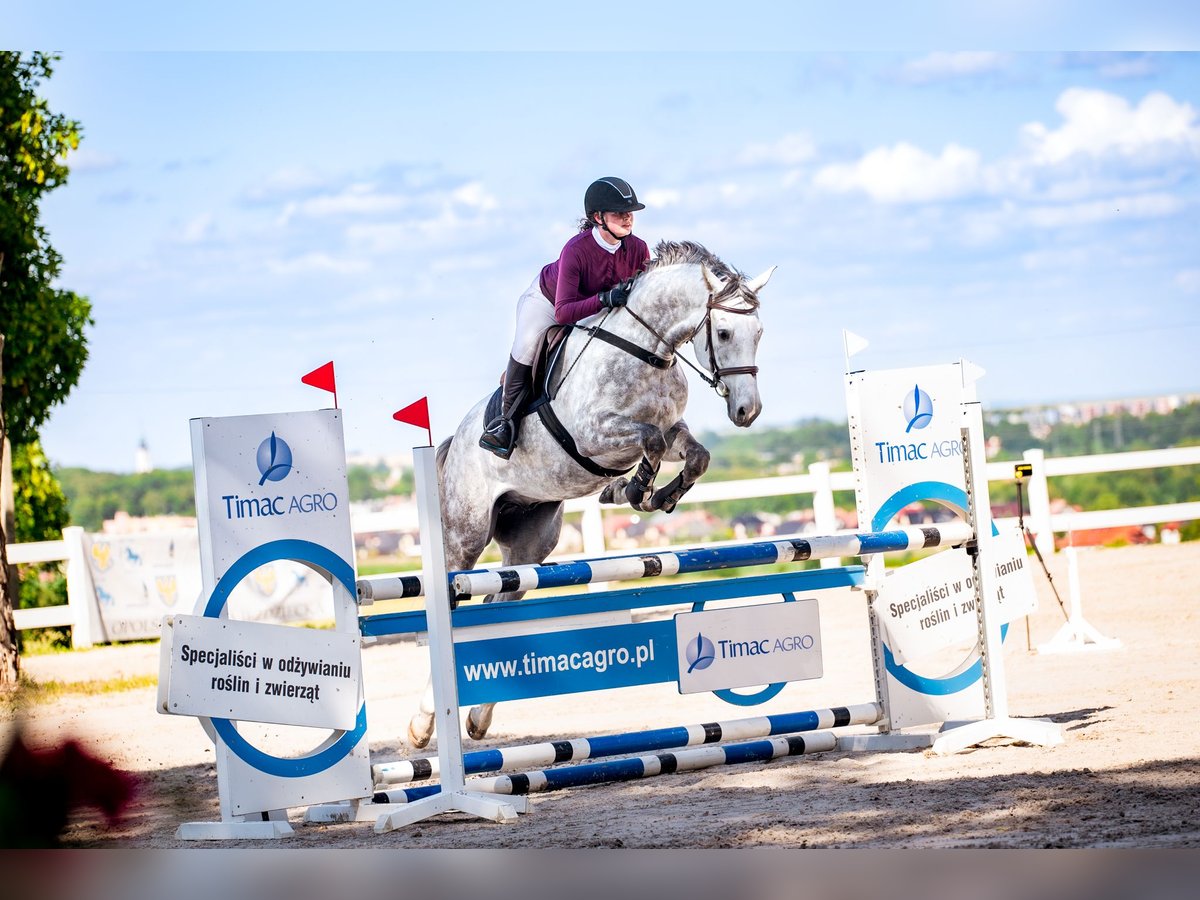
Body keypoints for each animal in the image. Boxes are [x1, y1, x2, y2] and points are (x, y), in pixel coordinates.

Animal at [408, 237, 772, 748]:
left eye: (758, 332)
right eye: (721, 332)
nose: (747, 411)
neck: (646, 351)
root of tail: (452, 442)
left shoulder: (670, 430)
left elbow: (693, 454)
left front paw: (654, 495)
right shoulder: (594, 437)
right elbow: (648, 441)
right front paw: (633, 489)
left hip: (531, 540)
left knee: (499, 605)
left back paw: (479, 719)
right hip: (465, 535)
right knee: (454, 602)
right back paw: (423, 724)